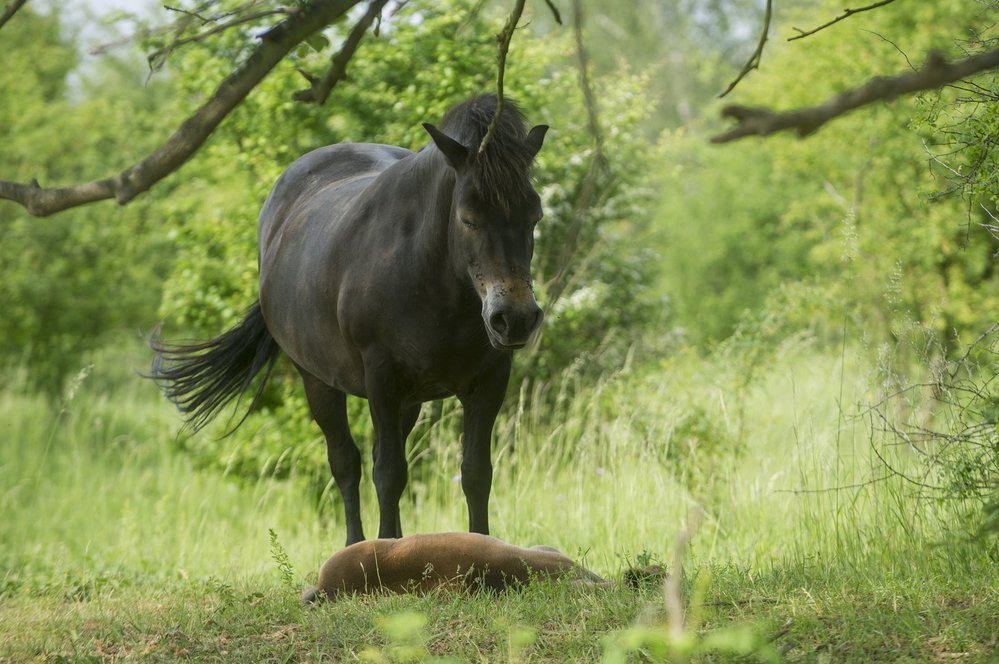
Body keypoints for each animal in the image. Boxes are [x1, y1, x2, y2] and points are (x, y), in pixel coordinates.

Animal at [152, 94, 552, 548]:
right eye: (468, 218)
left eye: (534, 216)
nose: (515, 318)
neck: (431, 277)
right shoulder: (381, 378)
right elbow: (388, 474)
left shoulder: (488, 383)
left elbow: (475, 474)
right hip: (319, 381)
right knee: (346, 462)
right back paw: (357, 545)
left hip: (408, 401)